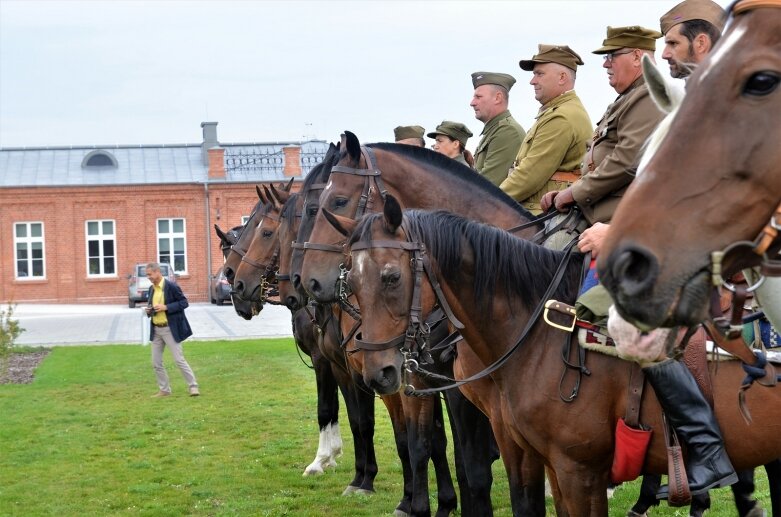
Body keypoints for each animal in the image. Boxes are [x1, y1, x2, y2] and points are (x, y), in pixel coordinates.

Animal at [296, 132, 552, 516]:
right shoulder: (418, 378)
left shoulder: (458, 390)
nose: (309, 281)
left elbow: (468, 463)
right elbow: (427, 445)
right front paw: (421, 504)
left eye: (336, 201)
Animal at [336, 197, 781, 516]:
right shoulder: (539, 457)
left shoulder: (577, 470)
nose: (378, 372)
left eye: (391, 276)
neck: (539, 332)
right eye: (351, 281)